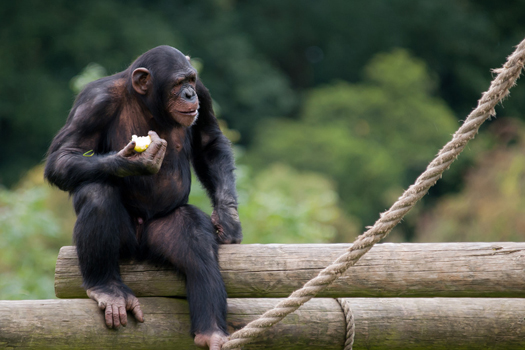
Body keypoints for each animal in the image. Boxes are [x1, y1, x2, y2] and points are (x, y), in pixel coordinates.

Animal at [45, 46, 242, 350]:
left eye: (191, 79)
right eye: (177, 83)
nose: (189, 94)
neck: (147, 103)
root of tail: (139, 245)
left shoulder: (204, 92)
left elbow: (209, 141)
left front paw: (227, 217)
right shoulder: (93, 102)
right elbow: (64, 154)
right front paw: (133, 163)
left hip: (160, 231)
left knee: (195, 240)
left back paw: (210, 331)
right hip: (122, 241)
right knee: (96, 192)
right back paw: (107, 288)